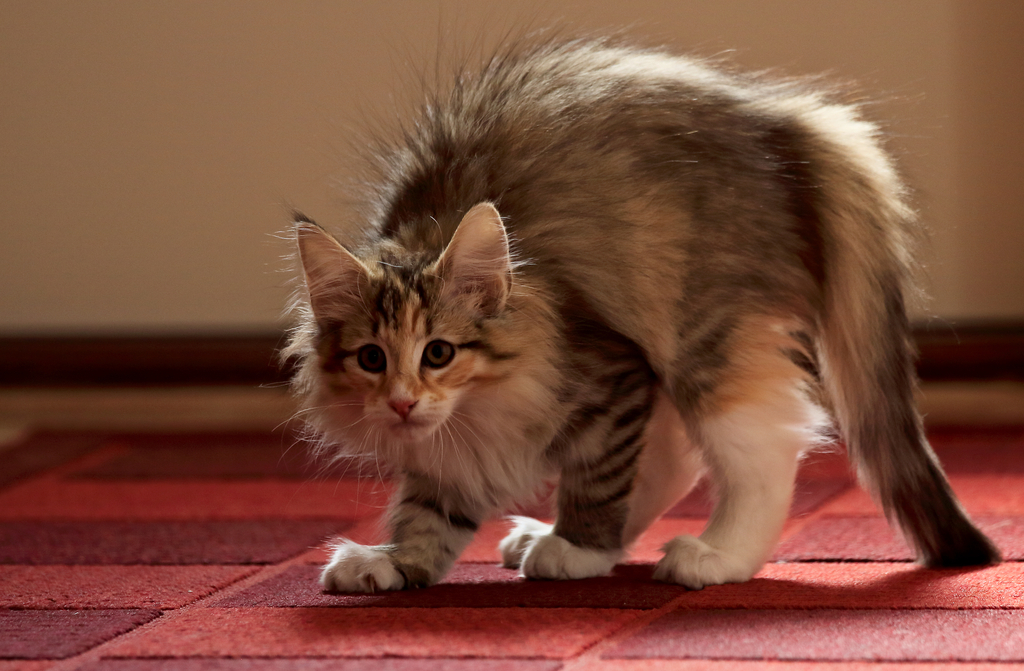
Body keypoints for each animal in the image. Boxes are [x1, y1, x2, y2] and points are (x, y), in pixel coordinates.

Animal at [286, 38, 999, 594]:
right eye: (371, 358)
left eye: (438, 352)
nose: (402, 402)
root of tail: (790, 123)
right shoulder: (450, 455)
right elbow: (428, 514)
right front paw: (392, 562)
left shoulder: (609, 371)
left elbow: (600, 475)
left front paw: (582, 547)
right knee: (674, 458)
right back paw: (557, 536)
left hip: (698, 329)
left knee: (759, 453)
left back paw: (709, 555)